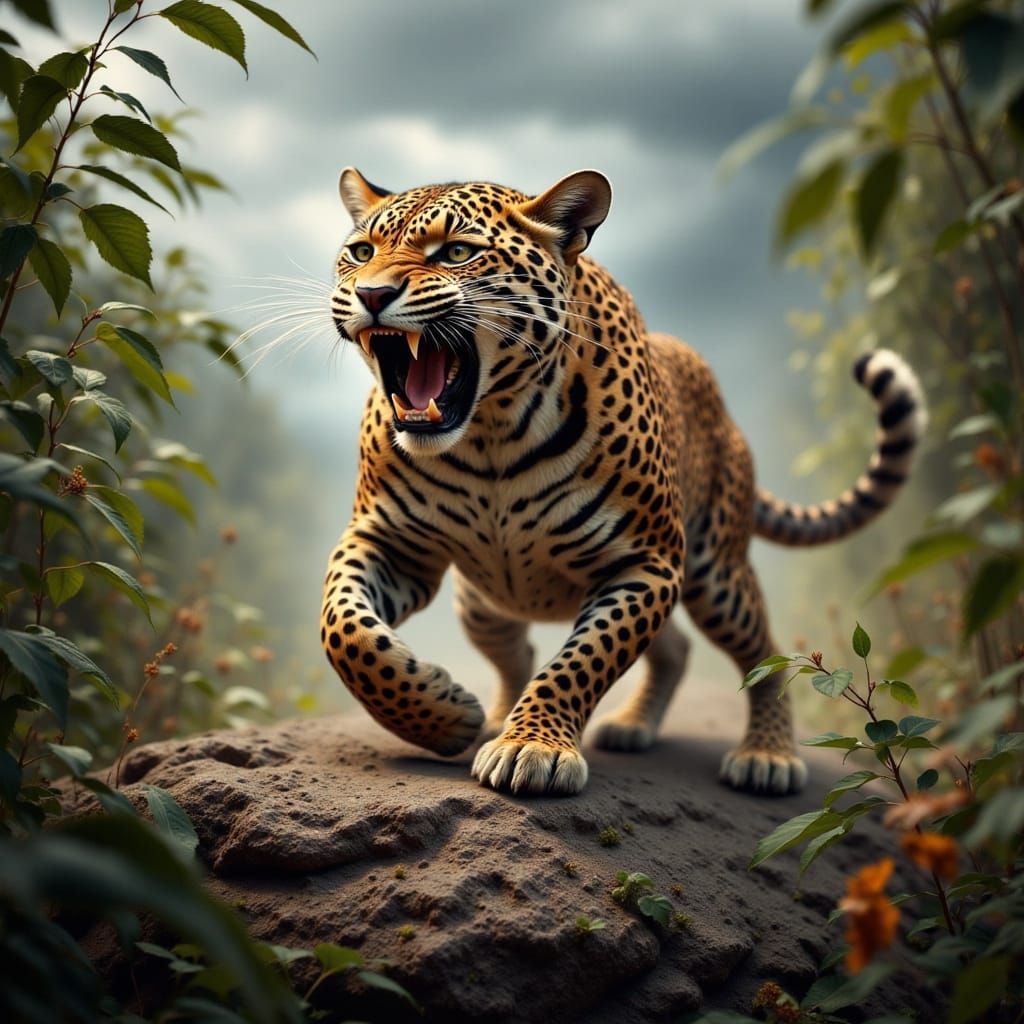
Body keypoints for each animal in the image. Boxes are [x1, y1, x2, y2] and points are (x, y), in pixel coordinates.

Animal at [320, 167, 926, 797]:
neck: (490, 433)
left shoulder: (646, 561)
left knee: (764, 650)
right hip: (482, 603)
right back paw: (547, 719)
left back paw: (768, 755)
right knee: (575, 649)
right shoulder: (389, 542)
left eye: (457, 252)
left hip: (716, 575)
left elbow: (582, 661)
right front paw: (446, 718)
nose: (371, 295)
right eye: (361, 253)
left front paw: (530, 746)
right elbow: (346, 632)